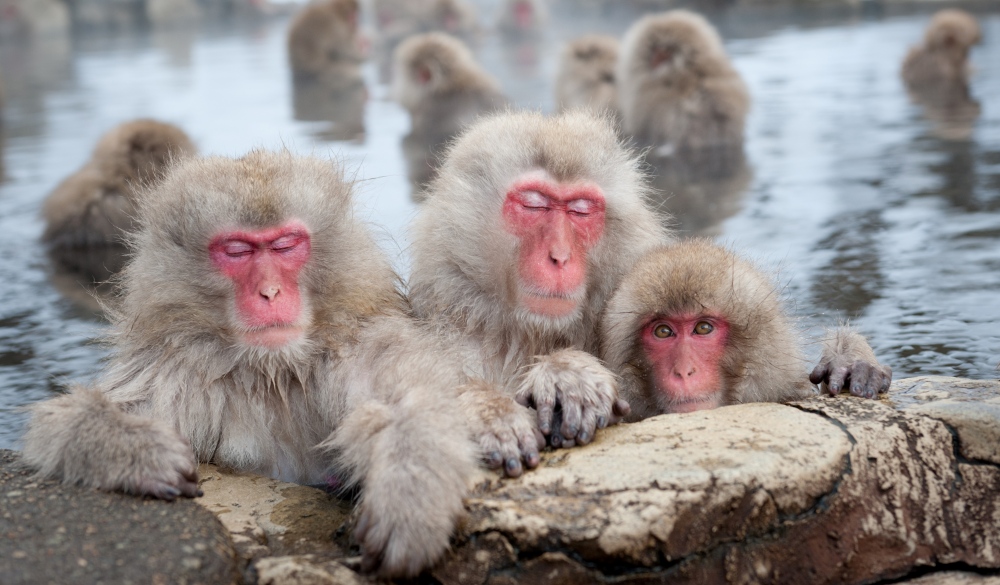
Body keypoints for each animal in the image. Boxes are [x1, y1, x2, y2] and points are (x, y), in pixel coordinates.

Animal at [22, 149, 476, 576]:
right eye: (237, 251)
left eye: (285, 244)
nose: (270, 292)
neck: (272, 371)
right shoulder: (174, 369)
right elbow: (61, 422)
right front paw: (139, 451)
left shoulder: (356, 348)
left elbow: (413, 400)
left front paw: (409, 499)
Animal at [406, 108, 672, 474]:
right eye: (534, 206)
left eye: (580, 210)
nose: (559, 256)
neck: (530, 335)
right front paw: (490, 412)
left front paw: (568, 374)